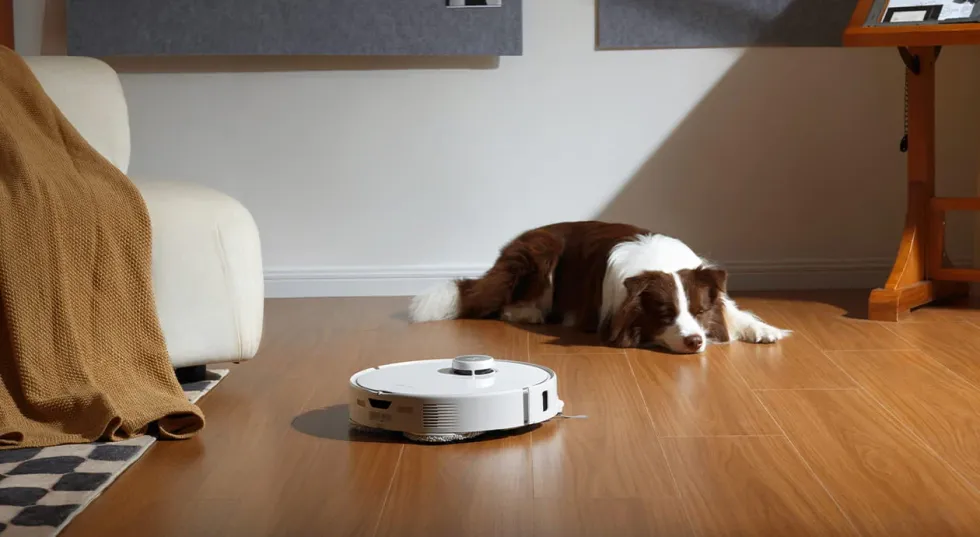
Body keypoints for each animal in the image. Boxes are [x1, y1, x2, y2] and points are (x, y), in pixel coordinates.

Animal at [410, 220, 792, 354]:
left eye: (698, 311)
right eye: (665, 314)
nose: (695, 341)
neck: (660, 262)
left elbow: (732, 311)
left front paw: (763, 330)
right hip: (542, 251)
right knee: (505, 305)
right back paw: (531, 313)